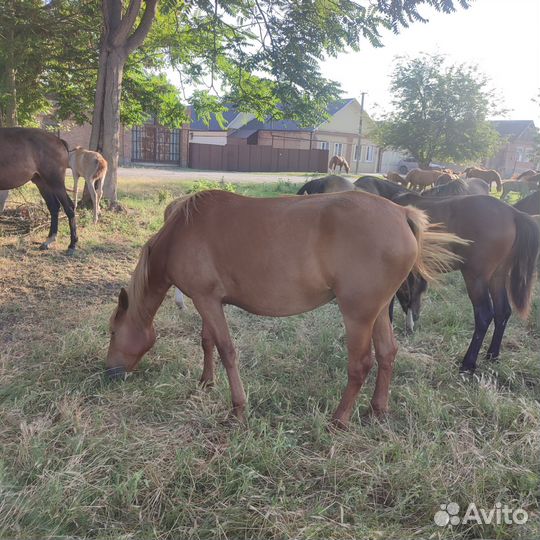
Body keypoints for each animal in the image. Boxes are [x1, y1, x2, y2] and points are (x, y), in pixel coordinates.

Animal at [105, 190, 460, 426]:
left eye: (111, 332)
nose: (109, 373)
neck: (181, 231)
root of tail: (402, 213)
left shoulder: (206, 301)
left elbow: (226, 350)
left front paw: (238, 407)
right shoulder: (208, 301)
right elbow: (208, 342)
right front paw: (206, 382)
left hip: (358, 314)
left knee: (361, 364)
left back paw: (339, 419)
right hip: (378, 310)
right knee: (387, 353)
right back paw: (376, 410)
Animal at [390, 192, 536, 374]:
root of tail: (513, 213)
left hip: (476, 278)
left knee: (484, 315)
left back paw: (468, 364)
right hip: (497, 276)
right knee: (503, 311)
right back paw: (492, 356)